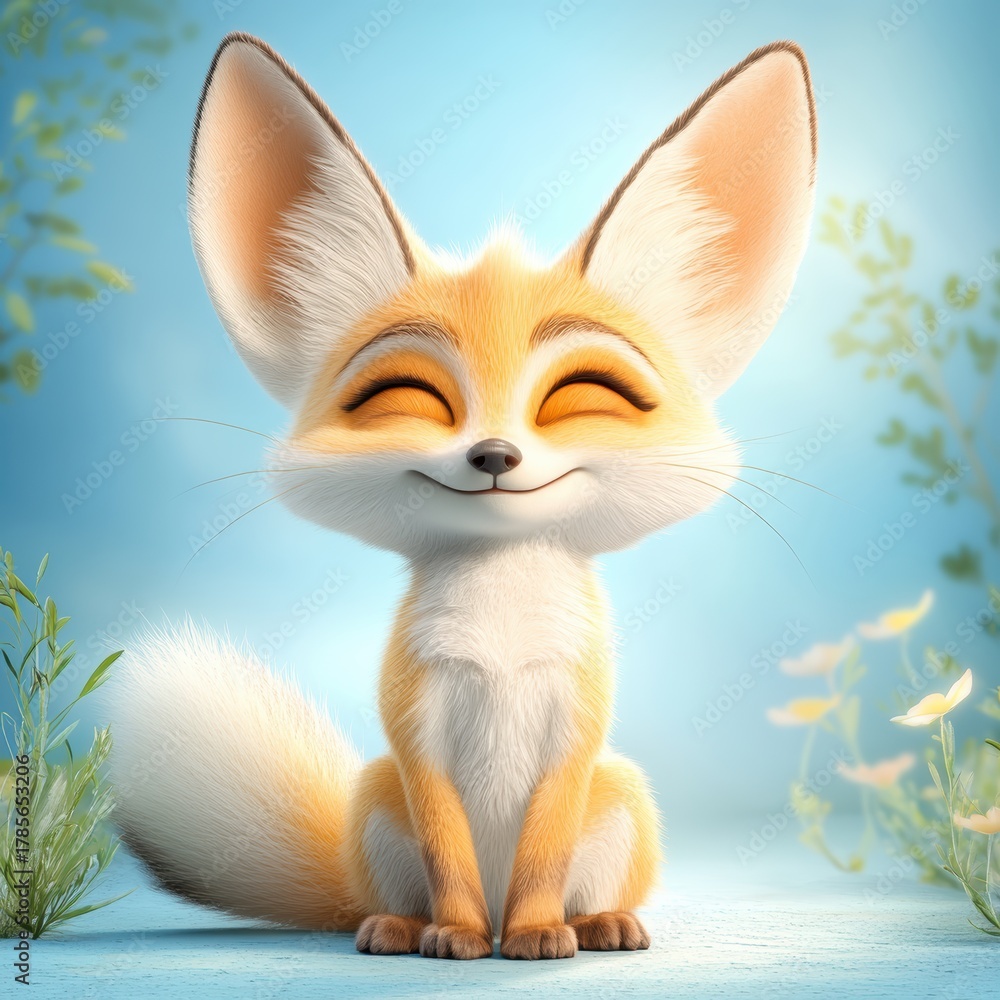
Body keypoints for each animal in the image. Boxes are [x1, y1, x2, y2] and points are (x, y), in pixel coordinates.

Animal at [108, 32, 816, 960]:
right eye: (406, 395)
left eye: (584, 393)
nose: (494, 454)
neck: (501, 639)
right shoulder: (414, 735)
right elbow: (448, 850)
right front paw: (457, 936)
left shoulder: (576, 730)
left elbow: (545, 853)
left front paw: (539, 935)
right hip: (376, 793)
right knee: (392, 894)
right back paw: (400, 927)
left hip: (622, 787)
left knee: (581, 880)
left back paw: (596, 924)